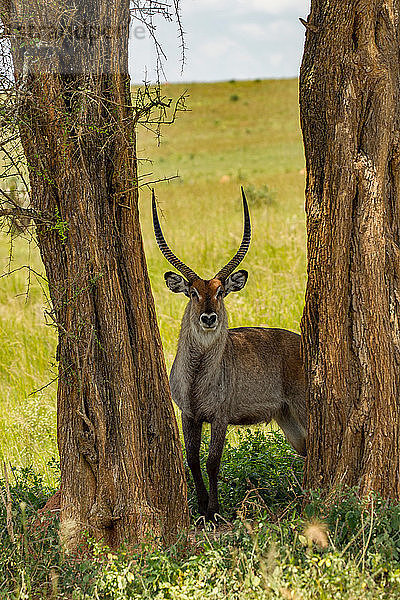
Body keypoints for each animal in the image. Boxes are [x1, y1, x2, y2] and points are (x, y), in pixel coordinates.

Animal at [153, 186, 306, 520]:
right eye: (193, 292)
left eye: (220, 292)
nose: (209, 318)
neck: (197, 377)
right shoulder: (189, 414)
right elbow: (192, 459)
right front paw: (199, 507)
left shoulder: (220, 417)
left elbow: (212, 462)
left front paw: (213, 510)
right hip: (287, 417)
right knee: (307, 448)